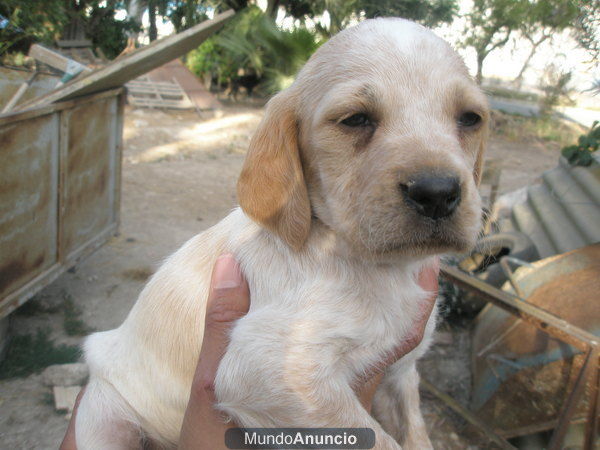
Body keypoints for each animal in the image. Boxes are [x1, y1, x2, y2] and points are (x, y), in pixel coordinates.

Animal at [75, 17, 488, 450]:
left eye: (470, 118)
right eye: (355, 119)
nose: (437, 193)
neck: (376, 269)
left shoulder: (400, 372)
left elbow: (415, 432)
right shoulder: (268, 369)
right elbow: (379, 440)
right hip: (103, 422)